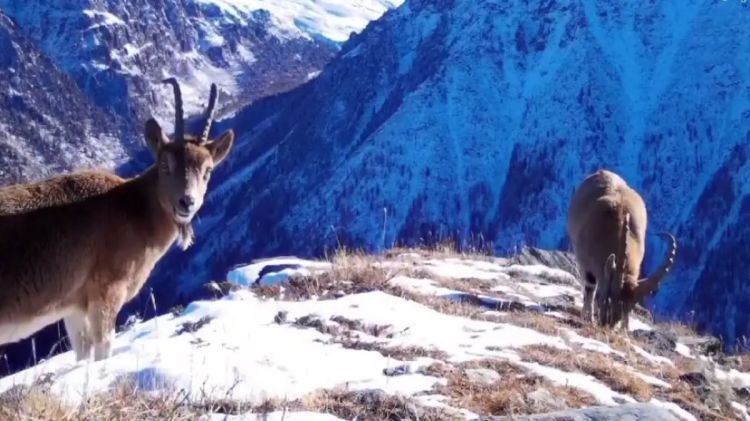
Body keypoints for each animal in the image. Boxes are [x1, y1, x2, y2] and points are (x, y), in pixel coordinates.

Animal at [0, 77, 234, 360]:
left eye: (208, 170)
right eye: (165, 164)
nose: (186, 202)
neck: (134, 209)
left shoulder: (73, 305)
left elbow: (83, 353)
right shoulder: (107, 290)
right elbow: (104, 348)